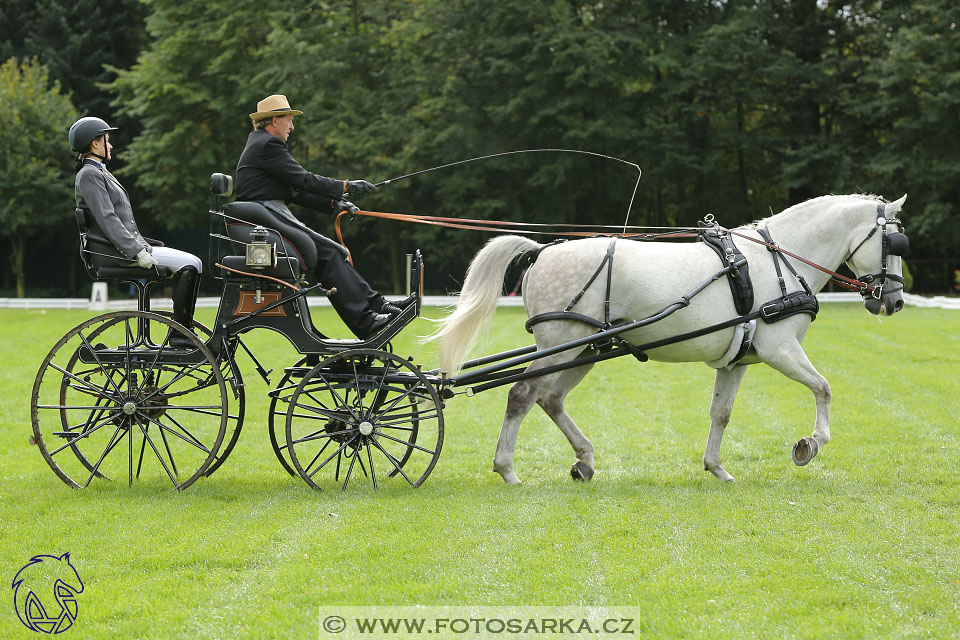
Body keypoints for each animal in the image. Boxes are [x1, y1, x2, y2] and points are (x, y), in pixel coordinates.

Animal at [436, 195, 908, 484]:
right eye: (895, 240)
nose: (895, 300)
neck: (778, 260)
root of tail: (544, 250)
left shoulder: (738, 361)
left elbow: (721, 414)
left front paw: (717, 468)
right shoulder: (781, 349)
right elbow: (824, 388)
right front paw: (810, 444)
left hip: (584, 348)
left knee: (549, 399)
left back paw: (584, 460)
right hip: (560, 344)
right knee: (521, 394)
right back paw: (508, 470)